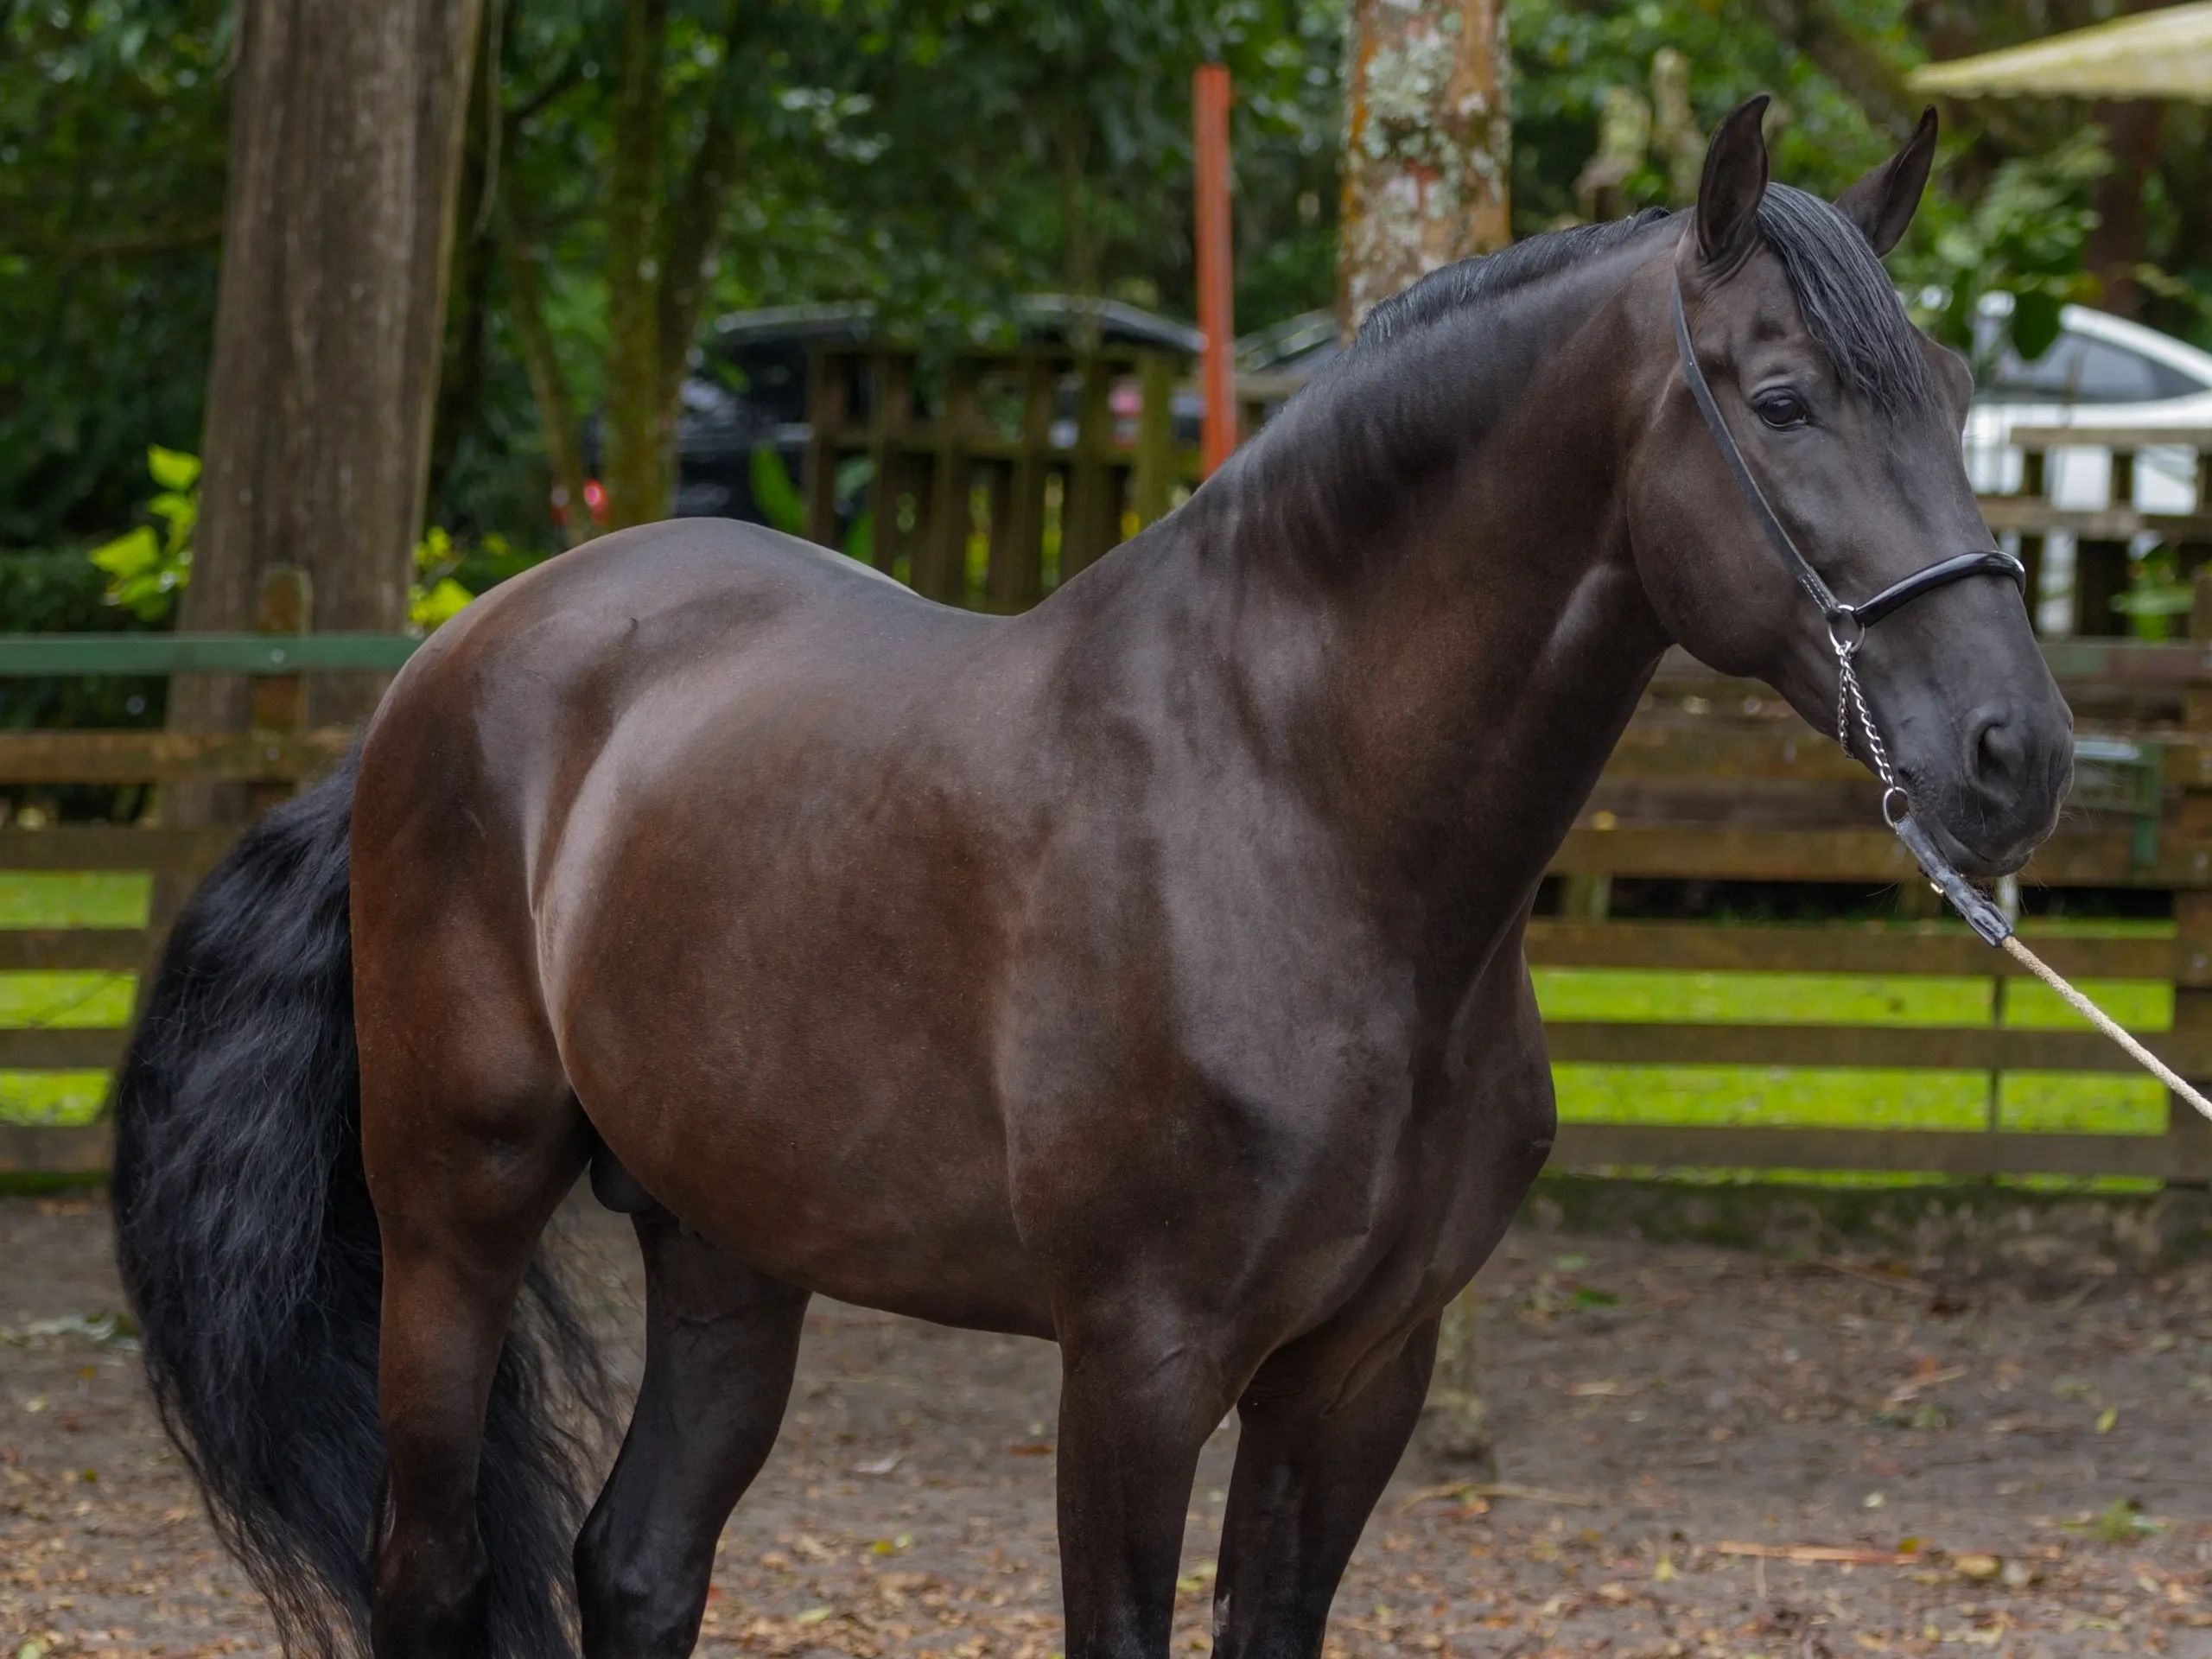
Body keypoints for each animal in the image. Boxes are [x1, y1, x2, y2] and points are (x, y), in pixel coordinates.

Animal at [111, 96, 2071, 1659]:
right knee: (430, 1573)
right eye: (1782, 400)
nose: (2015, 754)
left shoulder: (1357, 1372)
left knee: (640, 1564)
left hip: (731, 1246)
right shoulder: (1135, 1367)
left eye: (1962, 394)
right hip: (455, 1220)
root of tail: (442, 667)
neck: (1297, 825)